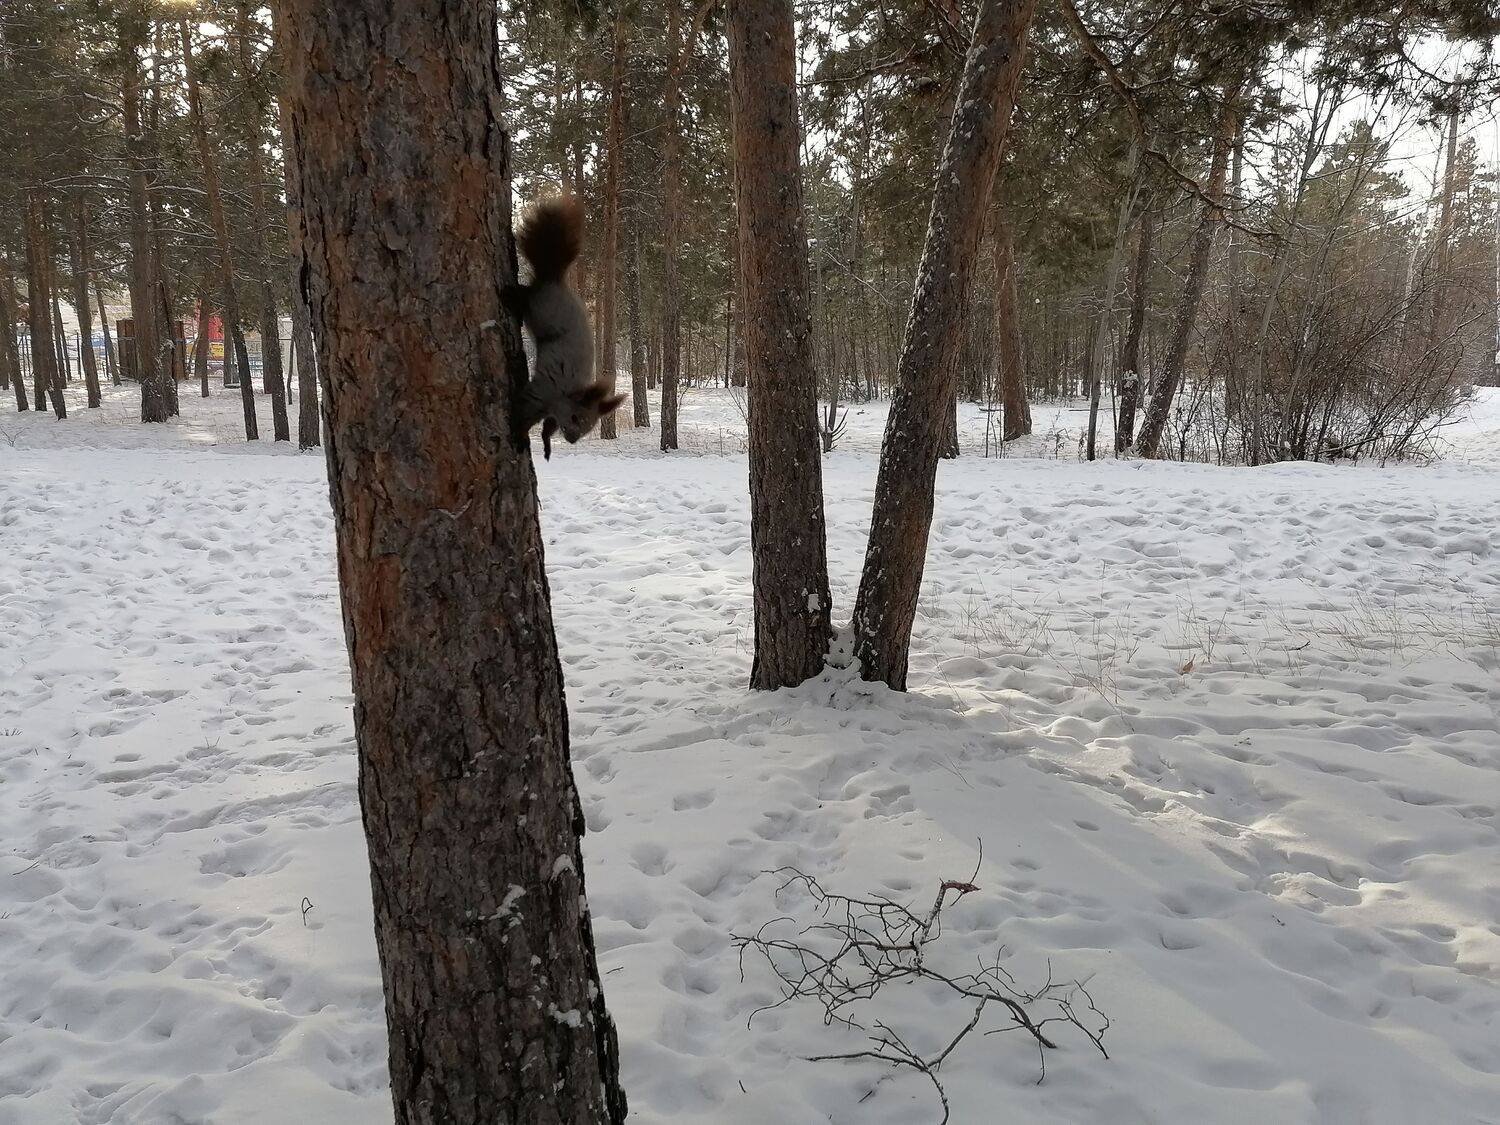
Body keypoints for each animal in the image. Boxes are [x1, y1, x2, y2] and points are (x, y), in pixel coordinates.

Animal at [501, 195, 624, 459]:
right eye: (576, 417)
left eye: (590, 427)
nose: (572, 440)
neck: (563, 397)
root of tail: (554, 280)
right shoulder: (542, 393)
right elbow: (523, 414)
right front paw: (519, 436)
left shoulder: (550, 411)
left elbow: (547, 427)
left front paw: (547, 444)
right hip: (541, 308)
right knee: (527, 294)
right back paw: (511, 295)